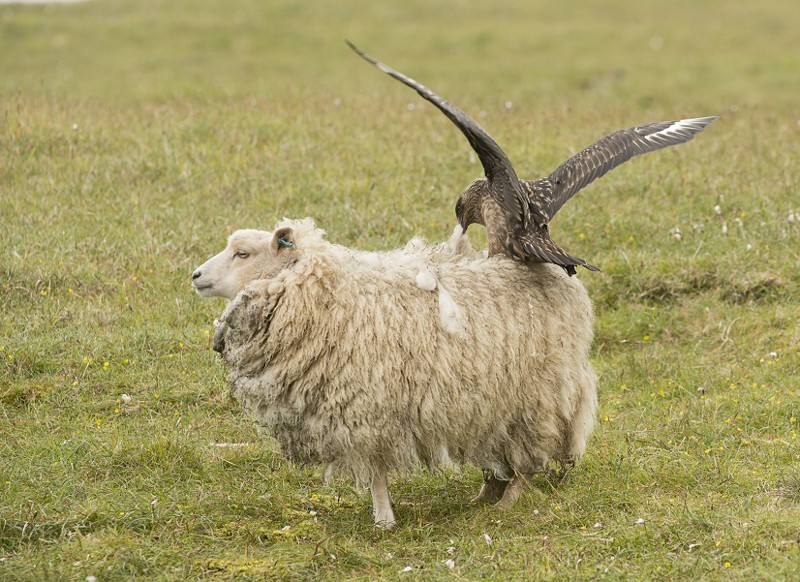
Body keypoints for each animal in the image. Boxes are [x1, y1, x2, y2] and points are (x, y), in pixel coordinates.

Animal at [192, 218, 592, 528]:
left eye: (243, 253)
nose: (195, 275)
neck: (327, 295)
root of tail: (562, 279)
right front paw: (385, 514)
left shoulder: (366, 408)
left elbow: (375, 470)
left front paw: (383, 519)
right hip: (495, 404)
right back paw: (485, 494)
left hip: (539, 398)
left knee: (530, 455)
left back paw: (510, 499)